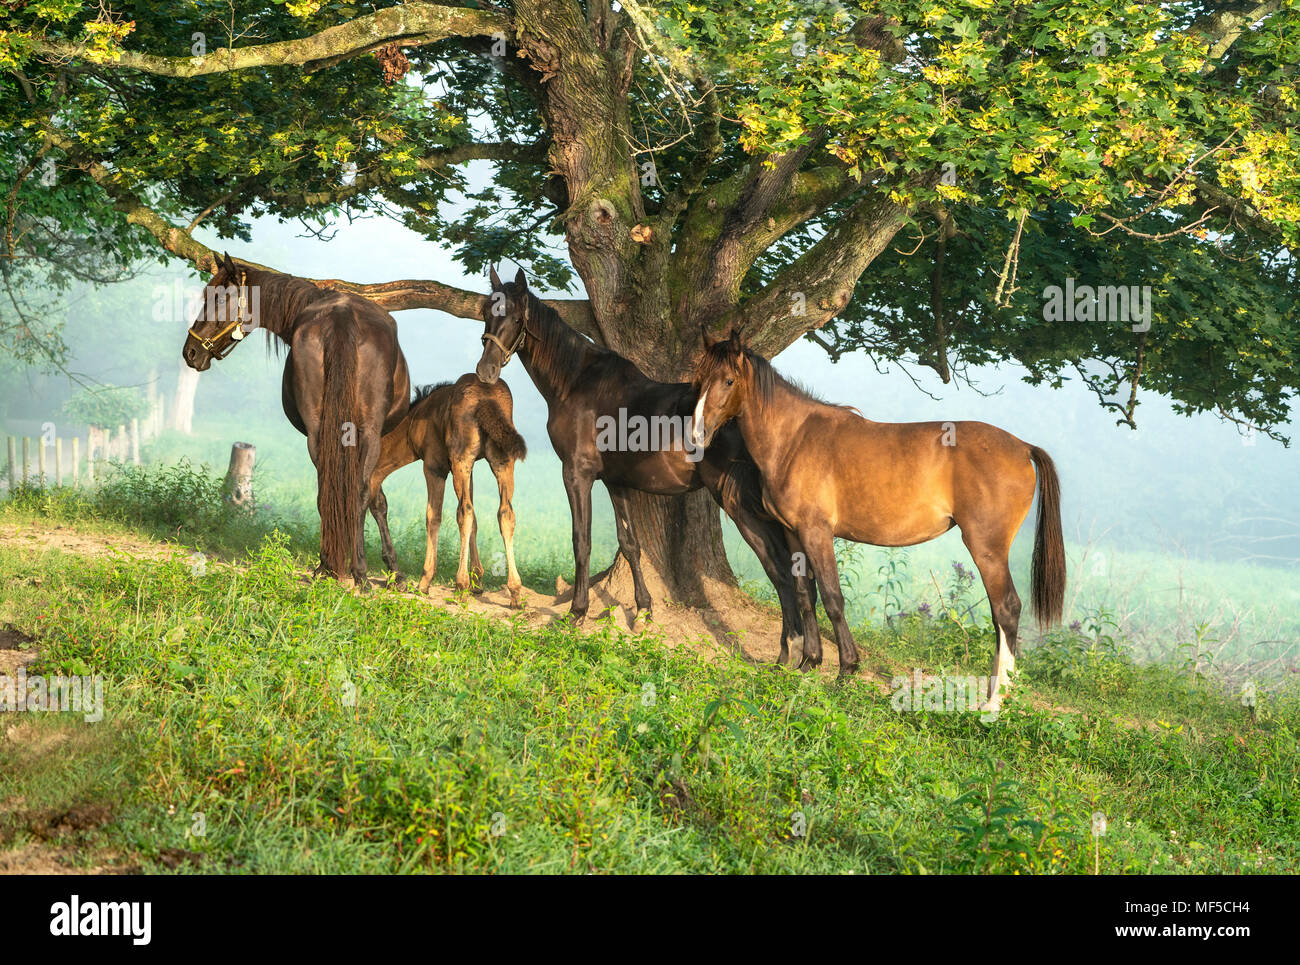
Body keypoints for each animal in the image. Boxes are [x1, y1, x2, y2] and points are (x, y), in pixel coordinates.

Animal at [180, 253, 408, 585]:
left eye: (217, 299)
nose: (191, 352)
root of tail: (342, 317)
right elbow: (375, 499)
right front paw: (392, 568)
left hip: (324, 434)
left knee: (331, 490)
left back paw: (329, 566)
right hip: (361, 433)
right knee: (356, 493)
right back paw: (357, 571)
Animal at [364, 374, 525, 608]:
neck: (414, 423)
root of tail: (487, 399)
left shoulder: (434, 466)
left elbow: (434, 516)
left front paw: (425, 582)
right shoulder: (470, 469)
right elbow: (475, 519)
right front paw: (477, 581)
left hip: (461, 459)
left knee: (464, 512)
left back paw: (460, 584)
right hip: (501, 461)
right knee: (505, 513)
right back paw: (514, 592)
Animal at [473, 264, 816, 658]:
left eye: (516, 317)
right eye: (486, 311)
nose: (485, 371)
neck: (577, 384)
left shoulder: (576, 474)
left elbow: (581, 541)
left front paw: (577, 612)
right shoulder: (615, 481)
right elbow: (630, 544)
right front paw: (644, 611)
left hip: (740, 504)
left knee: (781, 570)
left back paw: (790, 653)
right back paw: (810, 656)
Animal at [696, 332, 1060, 712]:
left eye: (729, 380)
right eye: (699, 376)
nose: (698, 433)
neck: (795, 439)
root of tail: (1023, 447)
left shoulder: (817, 533)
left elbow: (833, 599)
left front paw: (846, 670)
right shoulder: (793, 533)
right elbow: (804, 595)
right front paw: (808, 663)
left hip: (987, 547)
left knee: (1007, 609)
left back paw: (994, 702)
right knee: (999, 615)